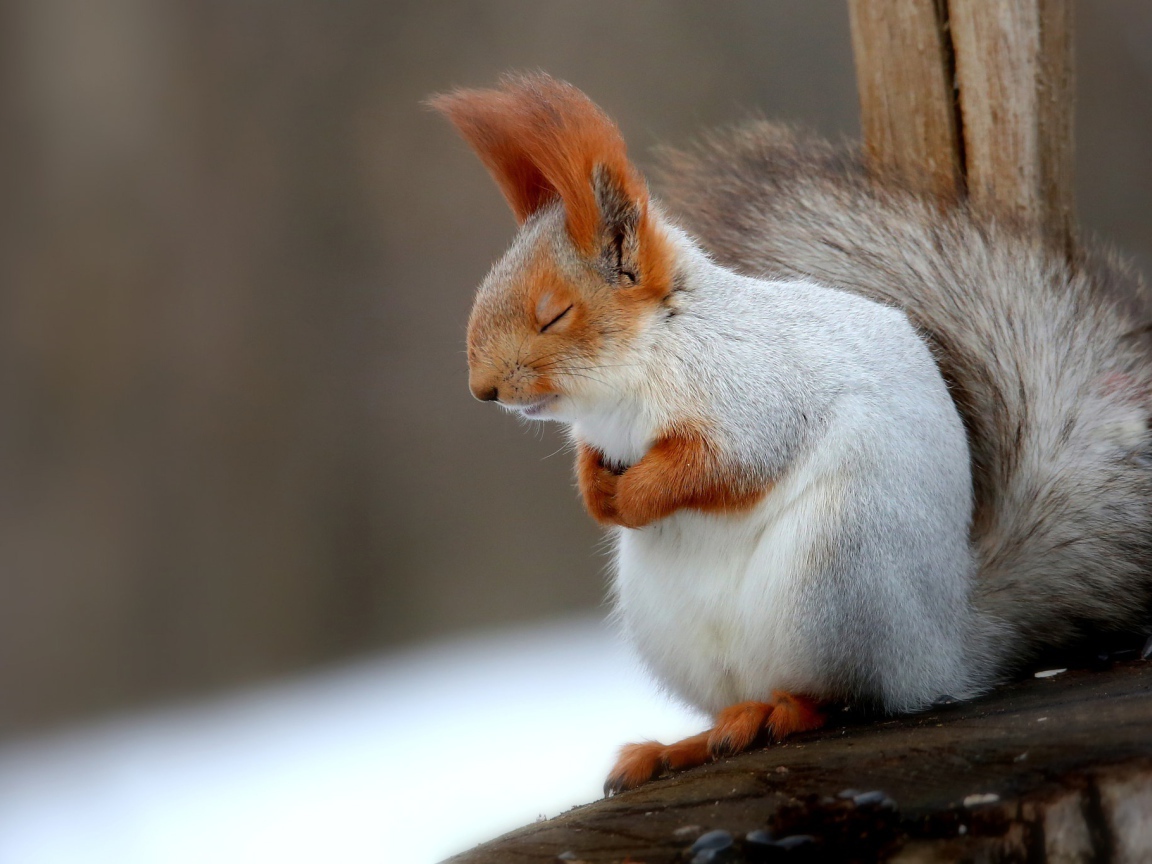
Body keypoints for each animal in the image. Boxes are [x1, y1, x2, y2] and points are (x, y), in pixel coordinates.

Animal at [430, 76, 1152, 797]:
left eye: (554, 314)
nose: (482, 389)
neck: (636, 374)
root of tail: (944, 650)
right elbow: (595, 462)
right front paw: (596, 496)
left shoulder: (759, 402)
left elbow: (715, 467)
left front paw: (633, 498)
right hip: (679, 629)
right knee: (742, 700)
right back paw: (684, 744)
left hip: (837, 574)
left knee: (849, 696)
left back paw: (782, 713)